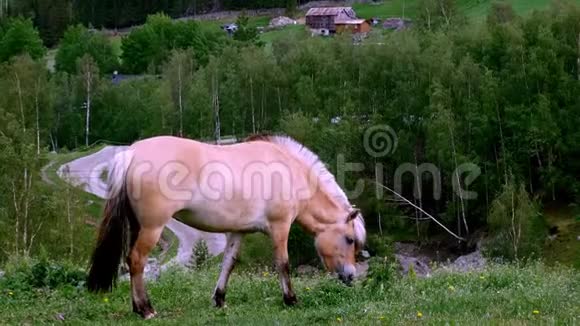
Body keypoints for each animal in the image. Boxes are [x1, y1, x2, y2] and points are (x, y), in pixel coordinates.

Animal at [86, 134, 364, 318]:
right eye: (349, 239)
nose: (351, 276)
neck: (288, 171)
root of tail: (131, 153)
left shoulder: (238, 232)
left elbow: (228, 263)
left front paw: (219, 299)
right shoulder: (280, 227)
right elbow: (283, 264)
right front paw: (291, 299)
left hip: (137, 226)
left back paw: (137, 307)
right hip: (152, 228)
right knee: (136, 261)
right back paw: (146, 309)